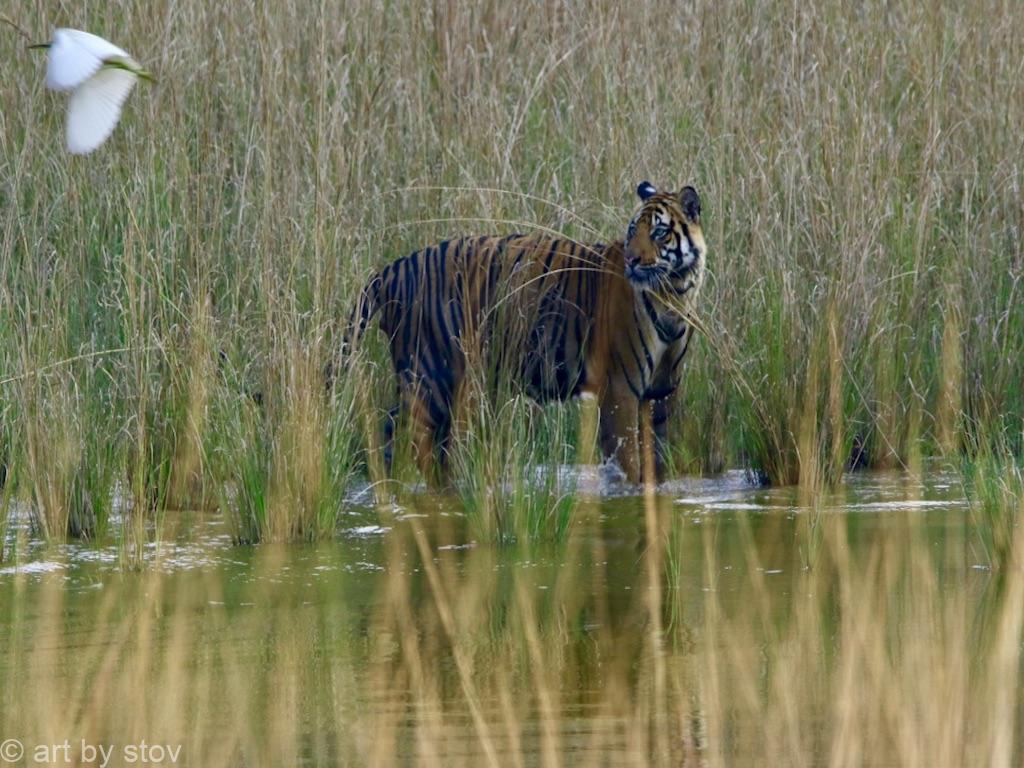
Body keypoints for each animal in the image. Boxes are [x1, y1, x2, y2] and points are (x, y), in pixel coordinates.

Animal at [342, 181, 704, 483]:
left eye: (658, 232)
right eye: (632, 231)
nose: (631, 260)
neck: (674, 294)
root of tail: (393, 268)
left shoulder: (662, 393)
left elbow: (657, 459)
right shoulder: (620, 390)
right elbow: (628, 460)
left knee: (391, 432)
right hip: (433, 376)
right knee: (417, 442)